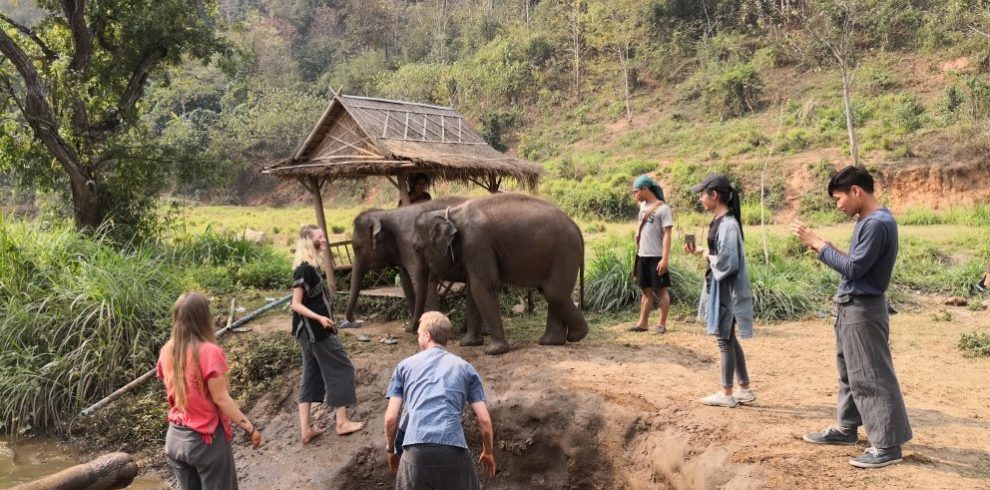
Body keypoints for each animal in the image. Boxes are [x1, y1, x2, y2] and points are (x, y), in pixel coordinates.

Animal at [346, 195, 470, 330]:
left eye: (356, 247)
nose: (356, 322)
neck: (386, 213)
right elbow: (405, 278)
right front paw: (414, 328)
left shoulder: (411, 245)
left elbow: (421, 280)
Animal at [412, 192, 588, 356]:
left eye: (416, 248)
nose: (413, 330)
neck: (451, 213)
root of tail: (576, 226)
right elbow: (472, 289)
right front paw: (468, 344)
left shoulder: (477, 243)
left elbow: (483, 286)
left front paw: (493, 351)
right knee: (552, 292)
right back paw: (550, 342)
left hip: (566, 252)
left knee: (554, 293)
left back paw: (576, 335)